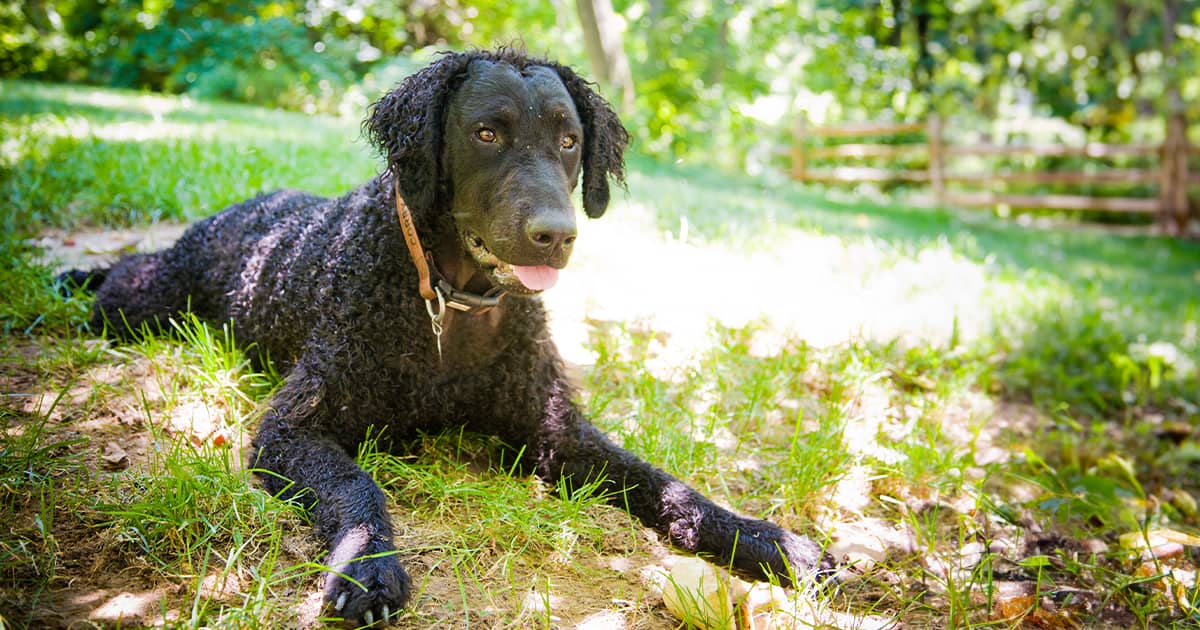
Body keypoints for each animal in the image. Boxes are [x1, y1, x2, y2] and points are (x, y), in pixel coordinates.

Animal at [60, 49, 830, 624]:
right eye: (488, 133)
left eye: (570, 140)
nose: (557, 235)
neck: (454, 305)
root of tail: (259, 204)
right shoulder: (294, 428)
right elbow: (356, 486)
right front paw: (367, 569)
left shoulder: (558, 431)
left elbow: (668, 487)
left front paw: (775, 544)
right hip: (144, 302)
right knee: (121, 276)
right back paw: (71, 277)